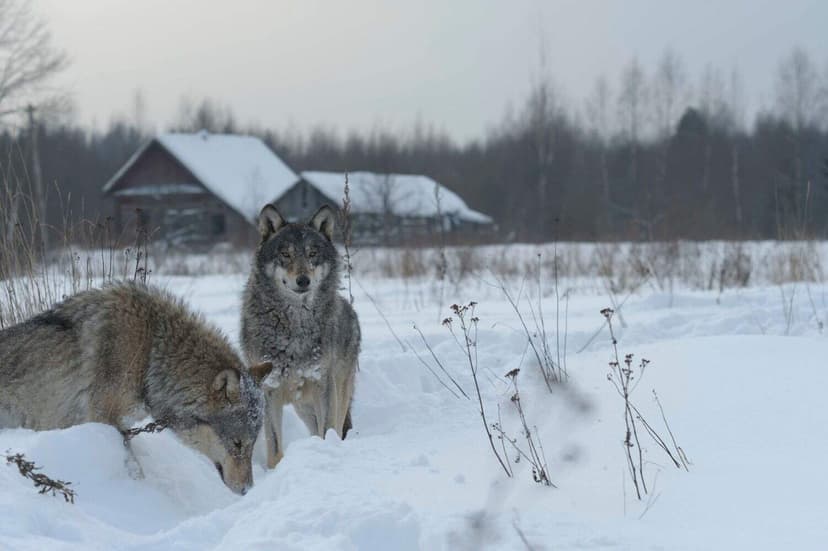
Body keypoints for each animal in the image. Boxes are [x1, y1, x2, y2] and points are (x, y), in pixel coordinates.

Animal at [0, 282, 273, 495]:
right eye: (237, 444)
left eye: (251, 445)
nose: (247, 490)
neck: (150, 352)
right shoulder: (104, 420)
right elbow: (134, 468)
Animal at [241, 204, 360, 468]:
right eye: (285, 254)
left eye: (312, 253)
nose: (303, 280)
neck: (294, 326)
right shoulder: (269, 390)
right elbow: (274, 444)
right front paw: (276, 470)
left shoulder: (323, 385)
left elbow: (328, 430)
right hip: (303, 407)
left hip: (337, 392)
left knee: (336, 426)